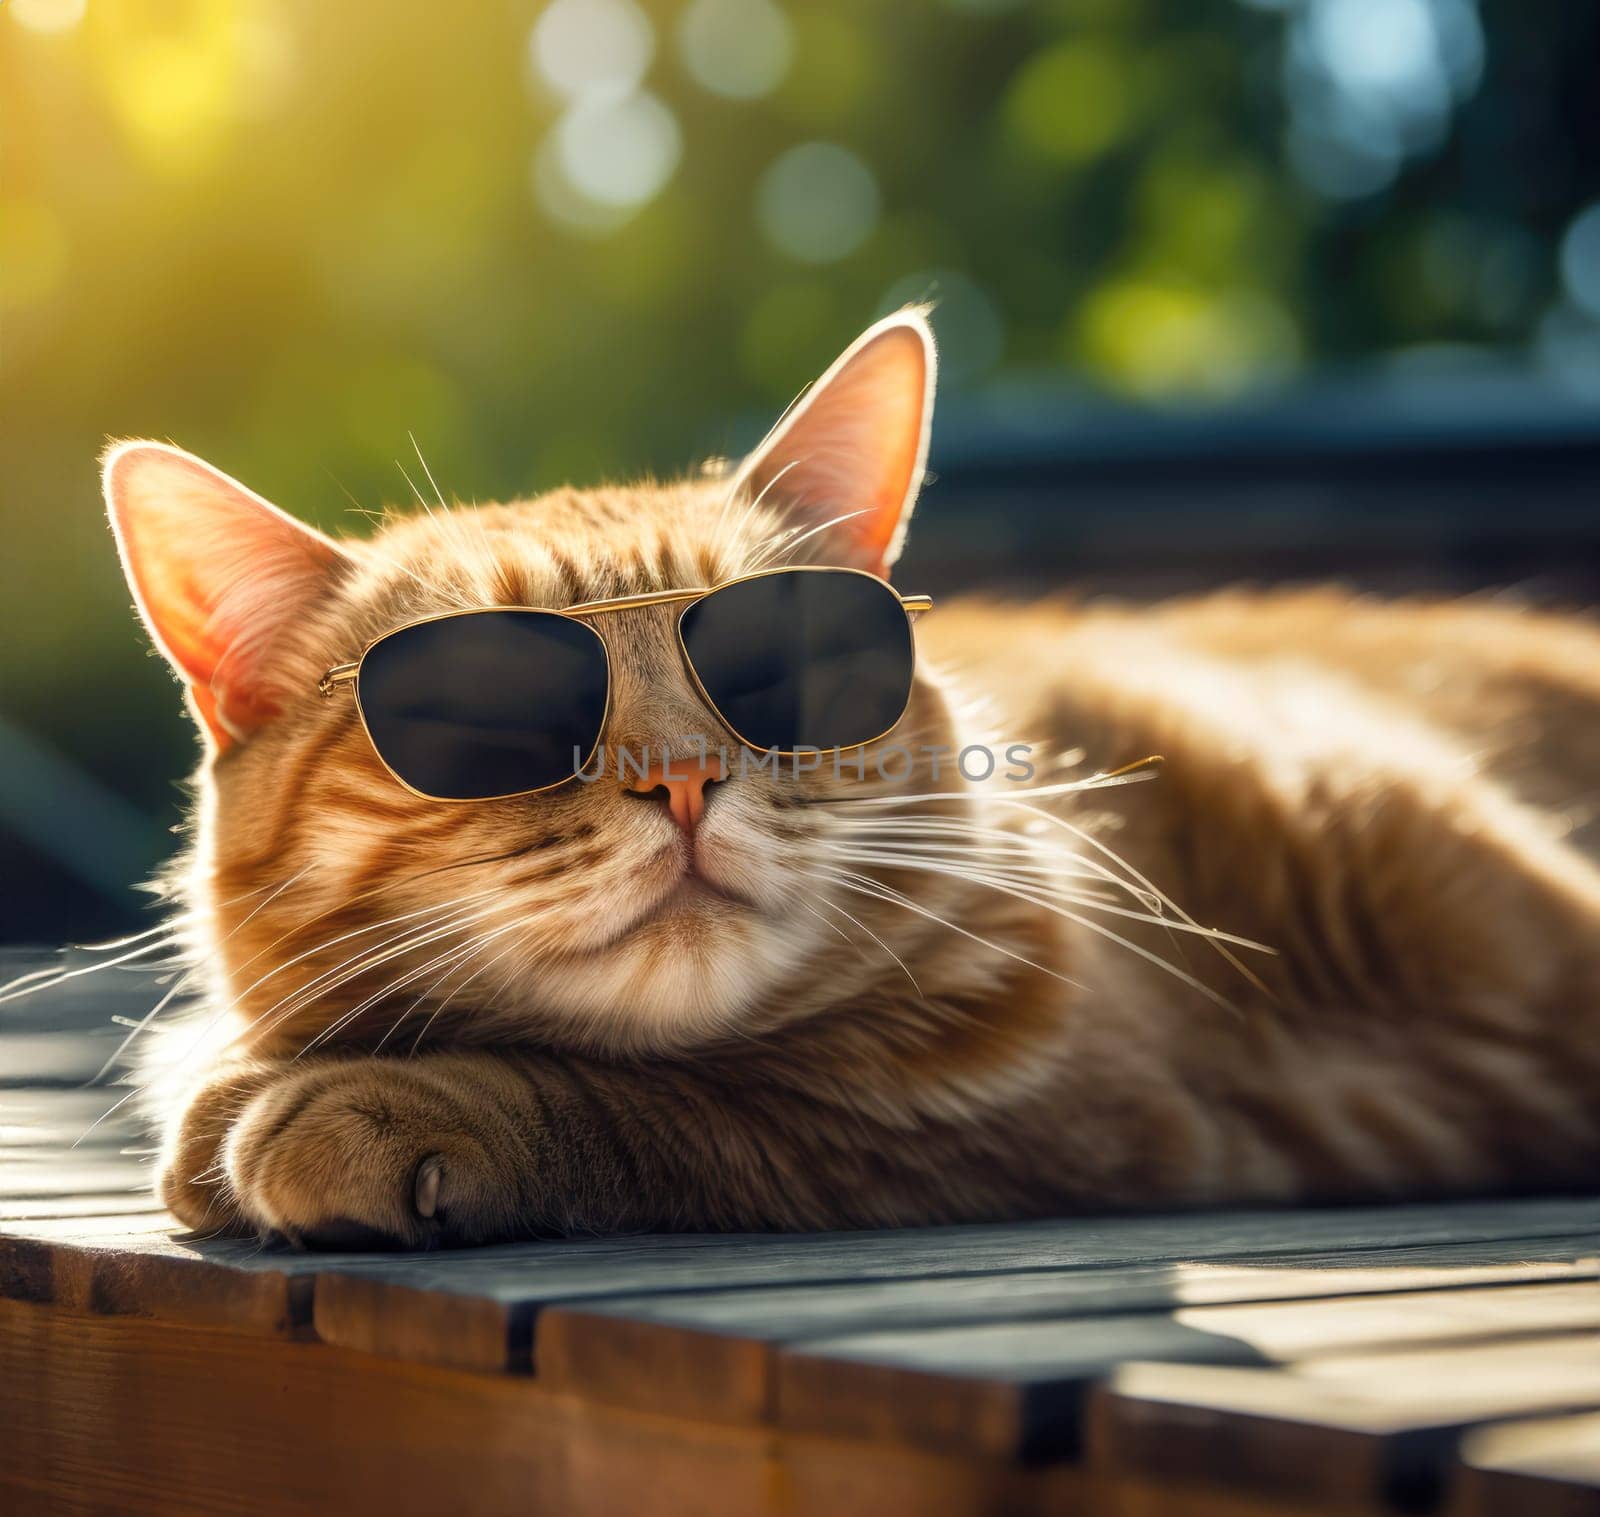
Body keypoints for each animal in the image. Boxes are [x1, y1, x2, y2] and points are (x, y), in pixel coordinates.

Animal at [103, 313, 1600, 1248]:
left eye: (776, 667)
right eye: (482, 712)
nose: (686, 777)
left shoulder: (1069, 1098)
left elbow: (689, 1100)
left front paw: (362, 1101)